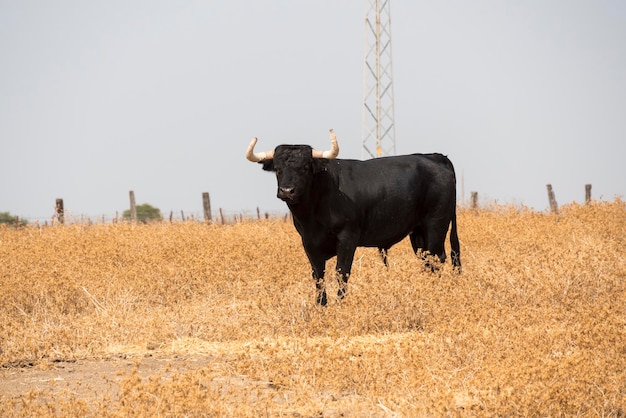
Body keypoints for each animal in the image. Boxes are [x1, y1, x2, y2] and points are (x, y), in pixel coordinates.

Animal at [247, 132, 458, 306]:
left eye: (305, 167)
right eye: (277, 168)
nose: (287, 191)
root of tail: (434, 157)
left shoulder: (348, 238)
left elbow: (342, 272)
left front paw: (340, 304)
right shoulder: (308, 242)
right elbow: (318, 275)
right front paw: (321, 306)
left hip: (435, 226)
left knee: (437, 259)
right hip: (418, 232)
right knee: (427, 261)